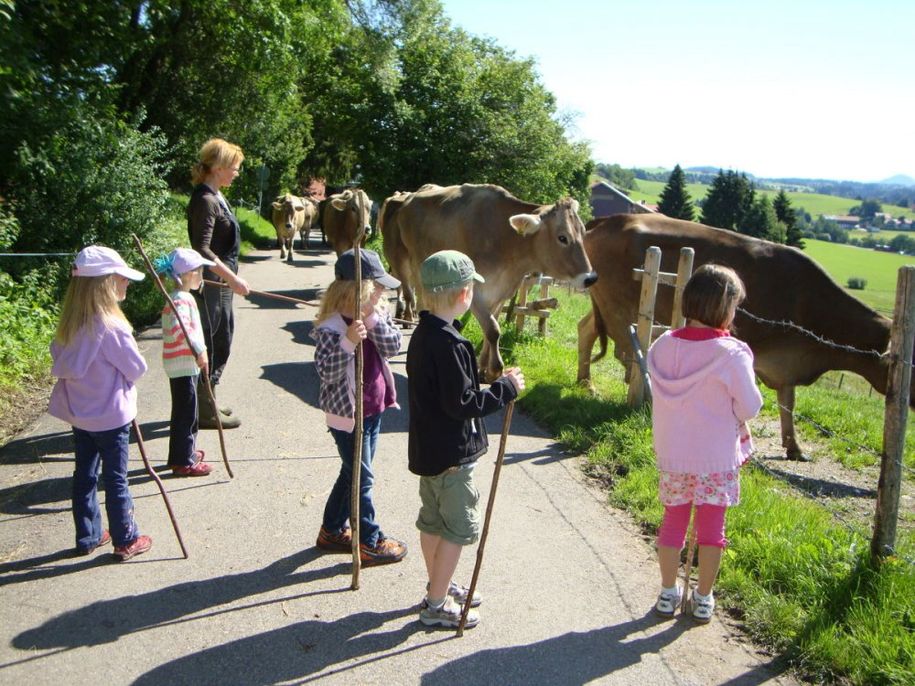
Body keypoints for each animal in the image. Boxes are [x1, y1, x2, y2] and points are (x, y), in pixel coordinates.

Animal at [382, 183, 596, 382]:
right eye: (562, 237)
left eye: (583, 233)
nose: (591, 278)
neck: (505, 242)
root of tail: (409, 197)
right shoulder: (474, 291)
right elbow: (493, 330)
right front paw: (495, 370)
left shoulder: (501, 293)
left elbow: (490, 328)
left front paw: (483, 368)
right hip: (403, 260)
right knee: (410, 293)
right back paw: (408, 318)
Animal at [580, 214, 908, 462]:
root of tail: (614, 218)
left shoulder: (786, 363)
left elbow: (787, 403)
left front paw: (794, 447)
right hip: (618, 308)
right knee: (625, 350)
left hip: (604, 304)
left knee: (586, 330)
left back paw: (586, 383)